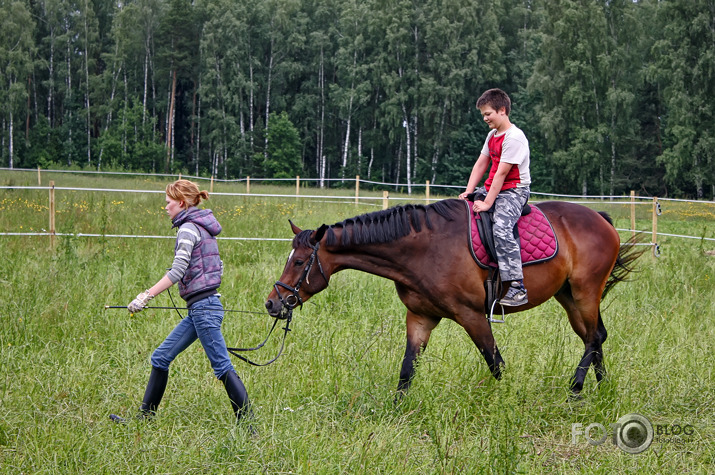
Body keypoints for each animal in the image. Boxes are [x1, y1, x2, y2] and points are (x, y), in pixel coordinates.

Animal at [264, 200, 644, 398]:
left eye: (298, 262)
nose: (272, 303)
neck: (423, 249)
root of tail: (601, 220)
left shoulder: (472, 316)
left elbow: (496, 363)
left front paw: (503, 403)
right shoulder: (420, 318)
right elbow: (407, 371)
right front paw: (397, 411)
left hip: (584, 292)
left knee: (593, 337)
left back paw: (576, 388)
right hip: (568, 296)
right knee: (595, 337)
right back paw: (600, 388)